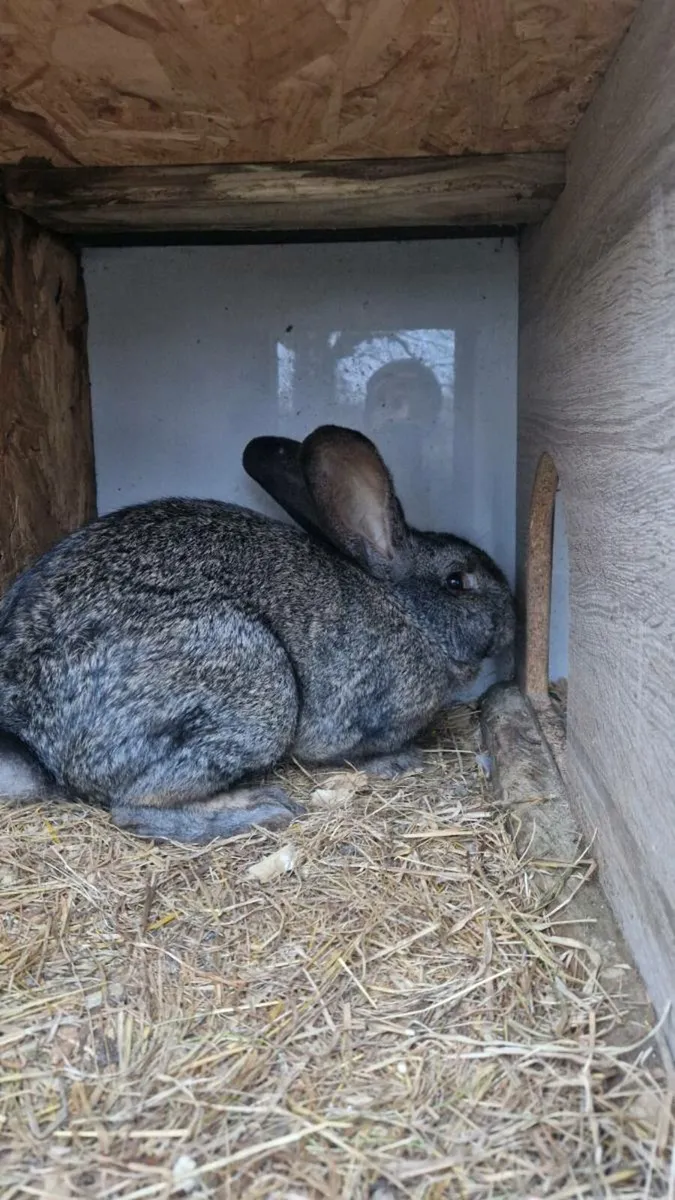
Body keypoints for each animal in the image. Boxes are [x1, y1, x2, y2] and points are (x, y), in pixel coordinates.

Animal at [0, 424, 514, 842]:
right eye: (457, 581)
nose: (513, 619)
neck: (407, 612)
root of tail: (31, 739)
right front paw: (398, 761)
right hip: (254, 690)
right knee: (135, 808)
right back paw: (260, 809)